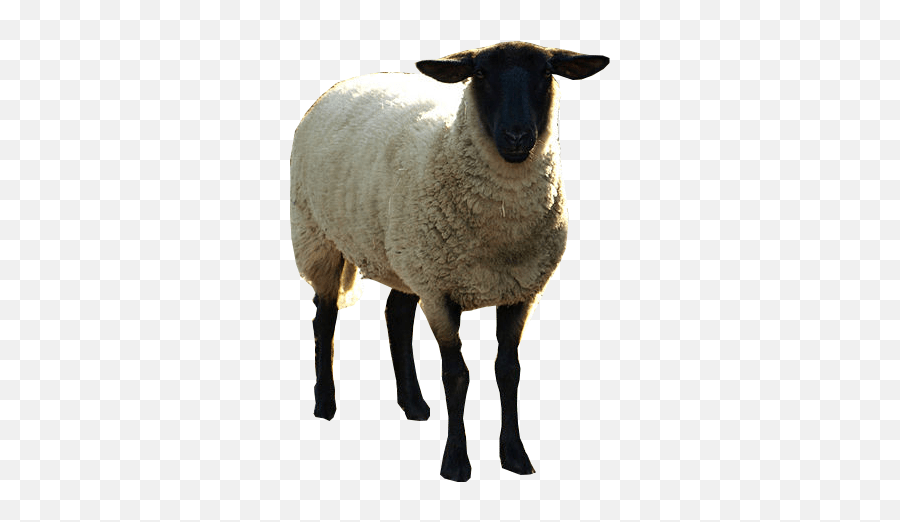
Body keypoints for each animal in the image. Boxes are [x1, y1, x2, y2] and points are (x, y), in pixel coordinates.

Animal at [290, 41, 609, 481]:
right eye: (481, 74)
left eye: (546, 73)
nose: (517, 135)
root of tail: (349, 82)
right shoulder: (440, 293)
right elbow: (456, 375)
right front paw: (456, 462)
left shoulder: (519, 291)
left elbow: (508, 371)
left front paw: (515, 456)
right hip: (318, 236)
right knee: (324, 319)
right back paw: (325, 404)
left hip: (405, 255)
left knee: (396, 314)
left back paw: (413, 405)